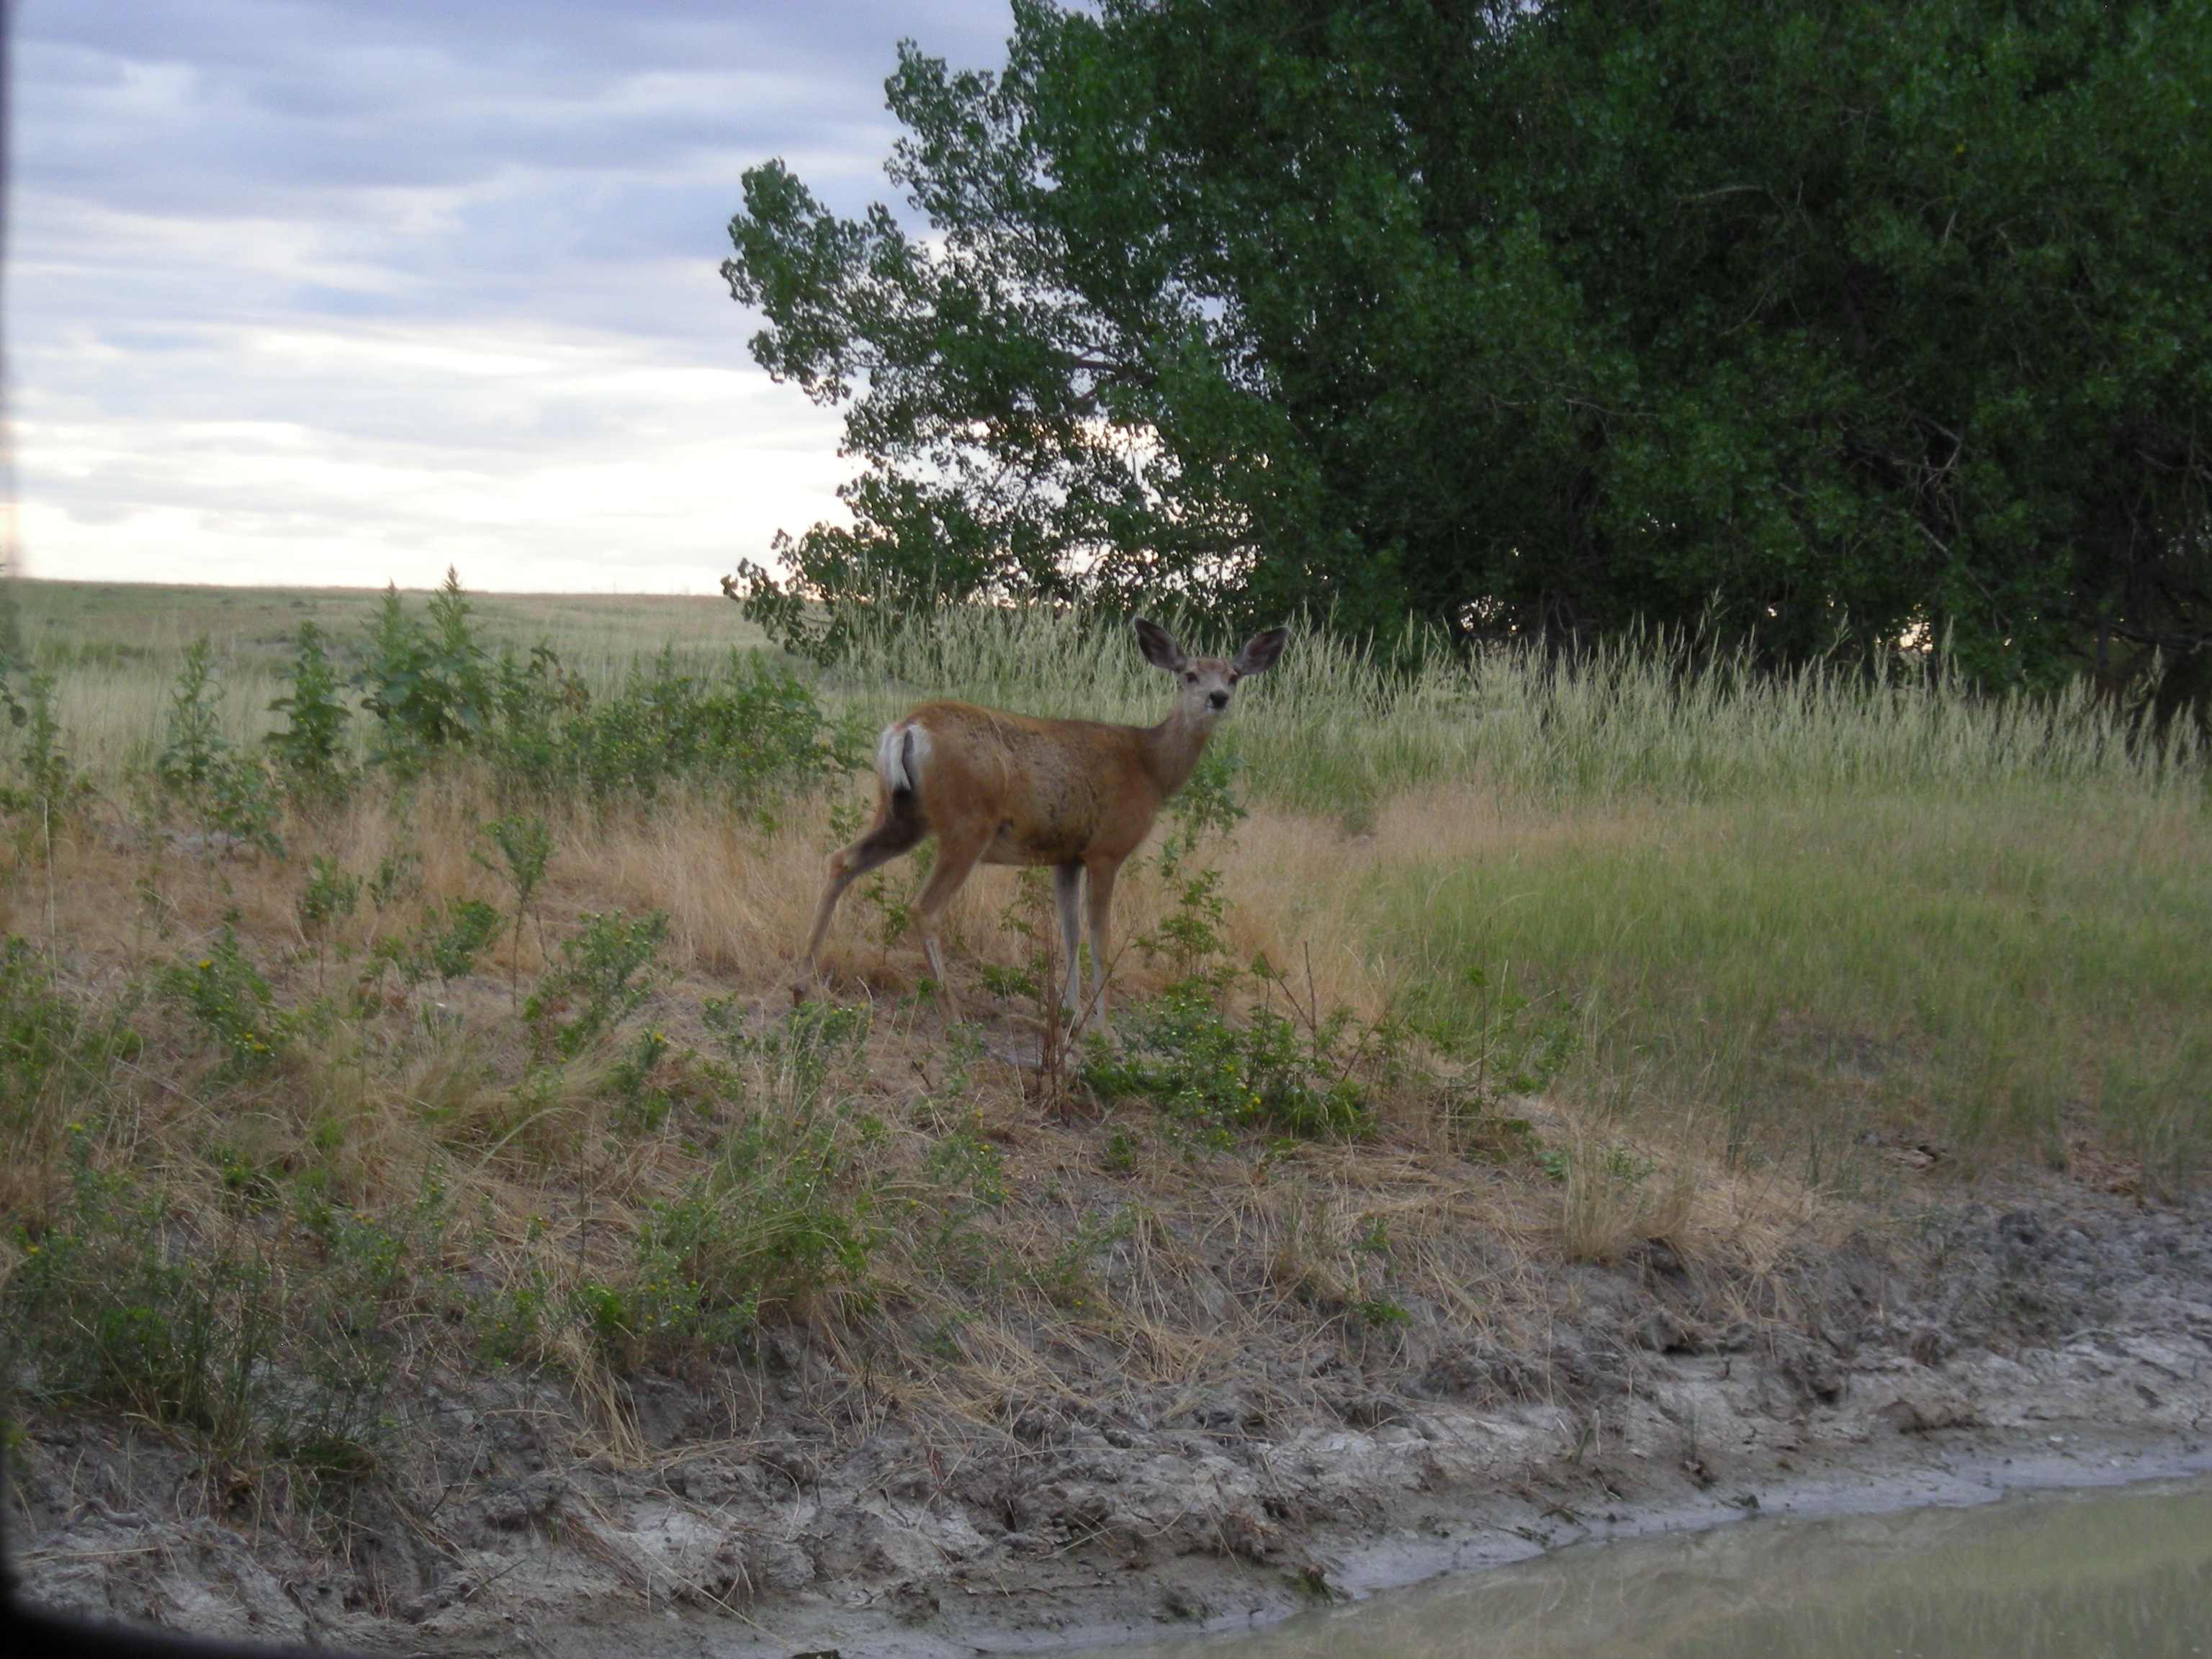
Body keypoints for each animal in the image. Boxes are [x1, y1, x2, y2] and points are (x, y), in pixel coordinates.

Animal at [801, 624, 1292, 1039]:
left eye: (1234, 675)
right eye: (1189, 675)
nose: (1217, 697)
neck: (1151, 769)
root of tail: (908, 727)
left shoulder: (1067, 856)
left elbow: (1069, 931)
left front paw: (1072, 1015)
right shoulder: (1106, 851)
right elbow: (1100, 937)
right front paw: (1106, 1030)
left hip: (902, 814)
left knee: (842, 860)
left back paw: (802, 981)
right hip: (966, 822)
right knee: (924, 907)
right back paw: (953, 1015)